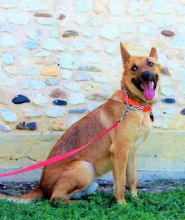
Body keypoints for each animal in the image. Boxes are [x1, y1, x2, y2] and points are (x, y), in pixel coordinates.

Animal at [0, 43, 161, 205]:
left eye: (150, 63)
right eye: (134, 68)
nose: (146, 75)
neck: (136, 104)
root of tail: (41, 186)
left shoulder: (131, 154)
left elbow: (132, 180)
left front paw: (135, 199)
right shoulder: (119, 152)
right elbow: (121, 183)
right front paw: (121, 204)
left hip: (91, 181)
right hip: (84, 167)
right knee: (55, 198)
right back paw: (80, 203)